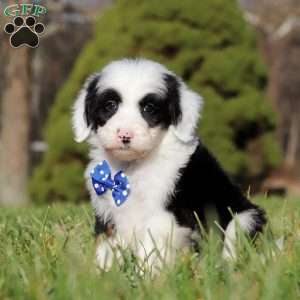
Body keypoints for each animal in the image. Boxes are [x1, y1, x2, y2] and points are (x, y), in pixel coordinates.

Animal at [71, 58, 266, 272]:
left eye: (149, 108)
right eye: (110, 105)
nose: (125, 135)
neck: (132, 168)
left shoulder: (163, 216)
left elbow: (149, 250)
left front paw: (145, 277)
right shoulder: (108, 212)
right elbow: (106, 245)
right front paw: (101, 274)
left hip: (245, 218)